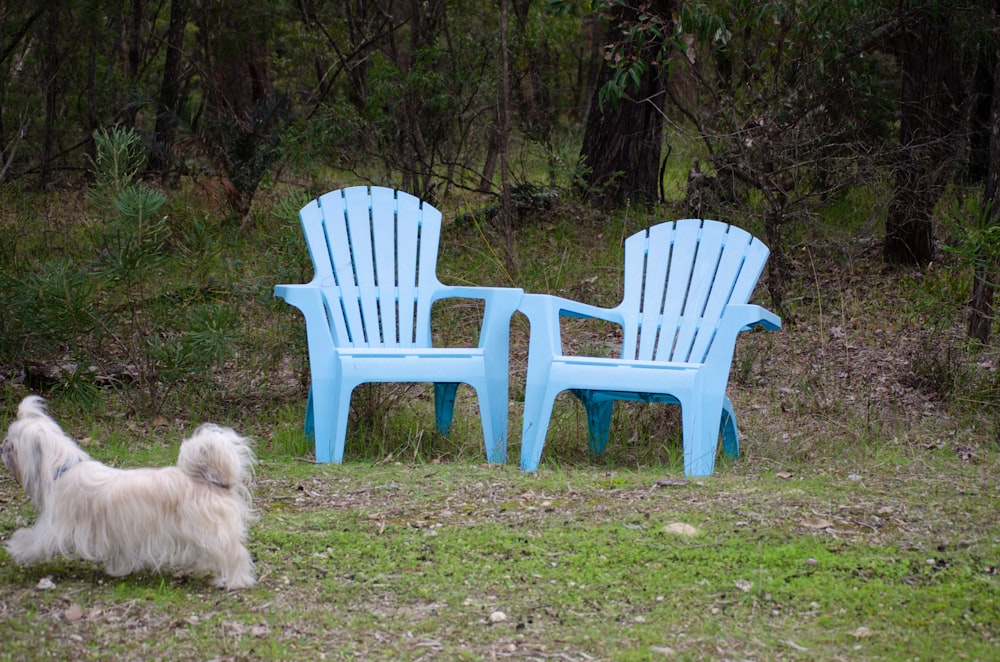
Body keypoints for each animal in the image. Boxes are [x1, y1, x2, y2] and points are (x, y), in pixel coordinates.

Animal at [1, 396, 258, 588]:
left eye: (12, 444)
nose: (3, 447)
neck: (62, 468)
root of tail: (214, 481)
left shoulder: (56, 527)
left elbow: (35, 542)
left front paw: (17, 549)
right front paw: (119, 570)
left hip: (211, 534)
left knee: (235, 555)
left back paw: (235, 581)